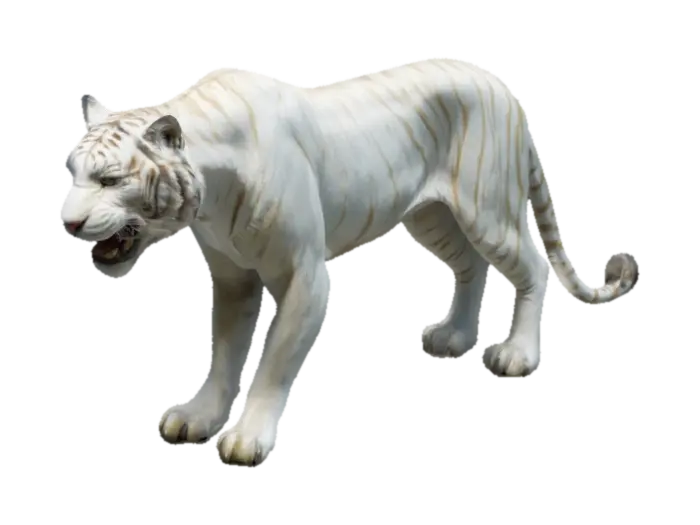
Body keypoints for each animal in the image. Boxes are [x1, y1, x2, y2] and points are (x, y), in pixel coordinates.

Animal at [57, 59, 635, 465]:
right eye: (73, 173)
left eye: (110, 180)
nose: (67, 224)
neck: (210, 187)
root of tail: (503, 83)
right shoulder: (229, 275)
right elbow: (222, 354)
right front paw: (196, 417)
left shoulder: (304, 274)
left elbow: (275, 360)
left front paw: (247, 438)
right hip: (433, 217)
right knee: (470, 268)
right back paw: (451, 338)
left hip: (488, 208)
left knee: (533, 267)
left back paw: (517, 355)